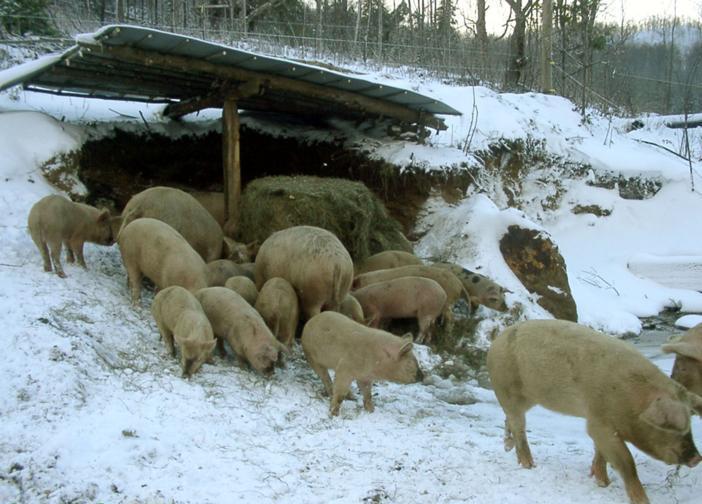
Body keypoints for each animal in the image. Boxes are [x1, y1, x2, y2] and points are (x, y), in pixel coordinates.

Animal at [490, 318, 702, 504]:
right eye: (673, 426)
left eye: (690, 424)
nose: (697, 458)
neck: (632, 401)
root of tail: (497, 340)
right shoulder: (599, 422)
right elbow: (626, 462)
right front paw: (641, 500)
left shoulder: (603, 424)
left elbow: (601, 453)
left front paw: (602, 482)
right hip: (507, 389)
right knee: (518, 425)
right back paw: (529, 465)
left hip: (528, 399)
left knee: (508, 420)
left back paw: (508, 447)